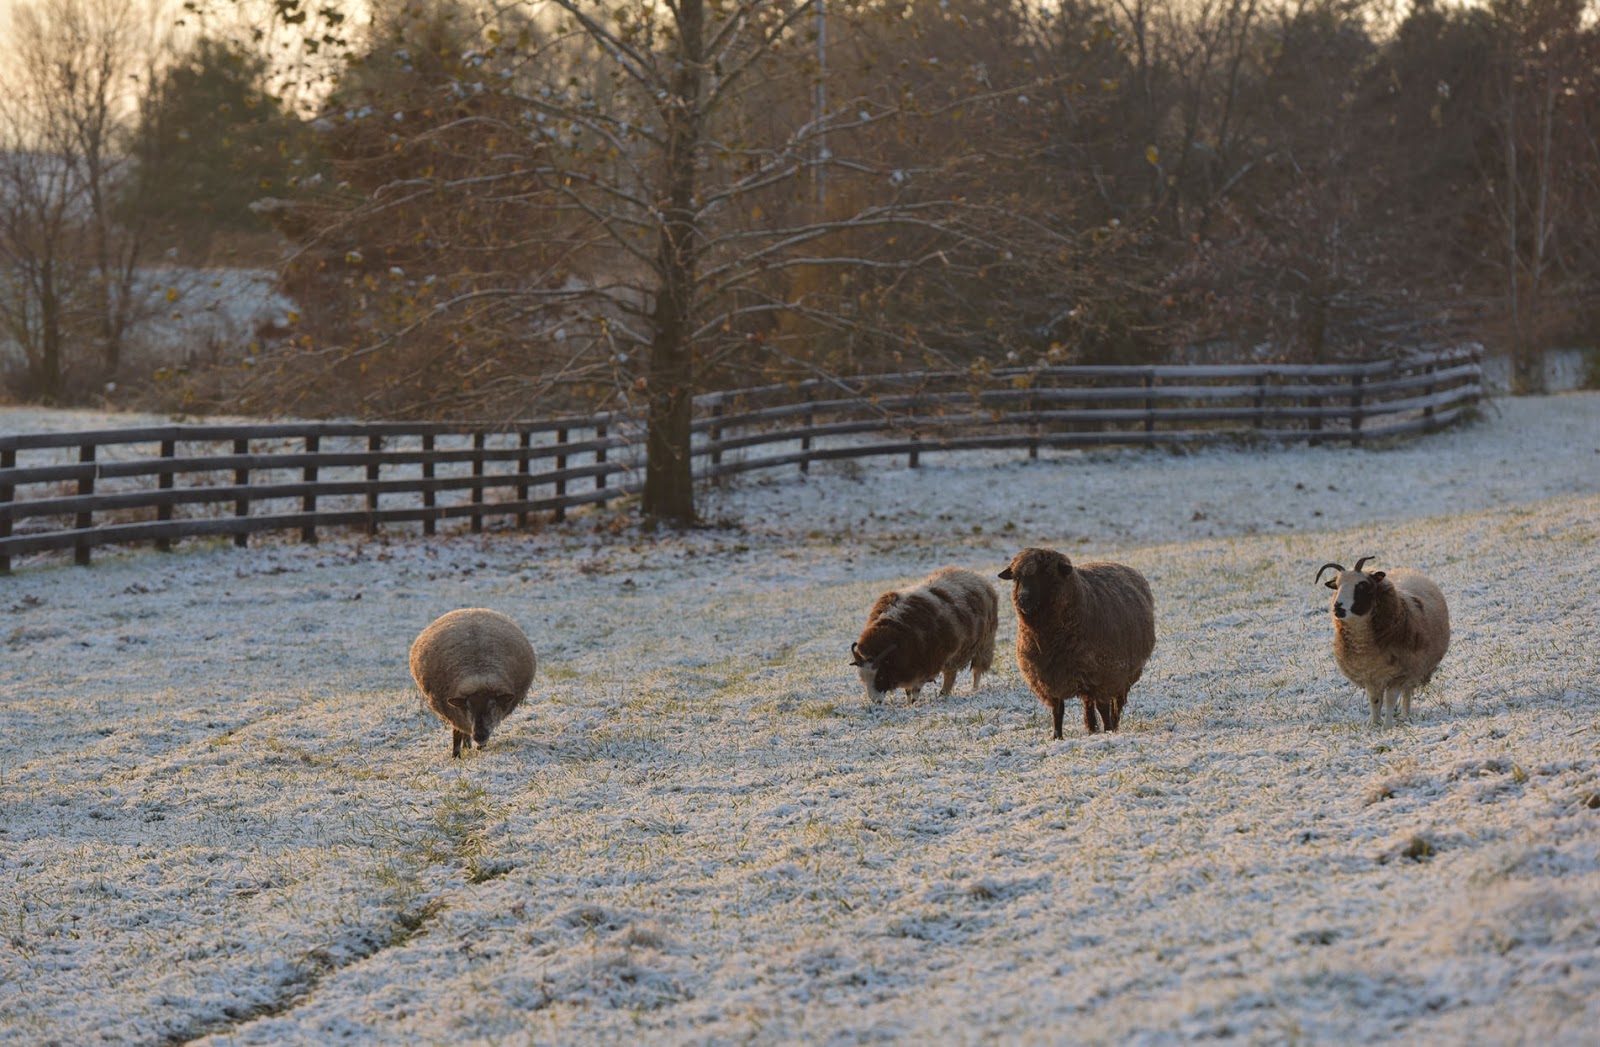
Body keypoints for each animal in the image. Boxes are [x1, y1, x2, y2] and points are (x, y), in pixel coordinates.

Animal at [408, 608, 537, 757]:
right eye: (468, 707)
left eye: (493, 706)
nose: (479, 736)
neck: (478, 670)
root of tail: (471, 609)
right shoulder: (455, 714)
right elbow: (457, 734)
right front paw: (456, 756)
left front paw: (481, 751)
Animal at [849, 567, 999, 704]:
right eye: (863, 679)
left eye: (879, 676)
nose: (876, 701)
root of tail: (976, 576)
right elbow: (908, 692)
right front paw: (908, 705)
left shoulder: (924, 666)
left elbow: (915, 690)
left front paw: (913, 705)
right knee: (951, 674)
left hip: (984, 644)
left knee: (975, 671)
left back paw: (972, 690)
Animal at [999, 547, 1156, 739]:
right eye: (1016, 577)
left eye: (1045, 574)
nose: (1023, 599)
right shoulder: (1049, 679)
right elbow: (1058, 711)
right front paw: (1057, 737)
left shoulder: (1104, 676)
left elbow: (1103, 708)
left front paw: (1108, 730)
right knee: (1088, 703)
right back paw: (1092, 728)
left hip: (1125, 674)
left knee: (1117, 703)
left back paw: (1113, 725)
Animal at [1315, 555, 1449, 728]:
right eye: (1336, 586)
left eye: (1362, 585)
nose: (1338, 607)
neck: (1364, 645)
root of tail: (1407, 570)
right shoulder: (1371, 675)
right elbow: (1375, 700)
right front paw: (1373, 724)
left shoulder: (1399, 674)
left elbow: (1390, 700)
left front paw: (1387, 726)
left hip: (1414, 667)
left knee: (1407, 692)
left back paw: (1405, 716)